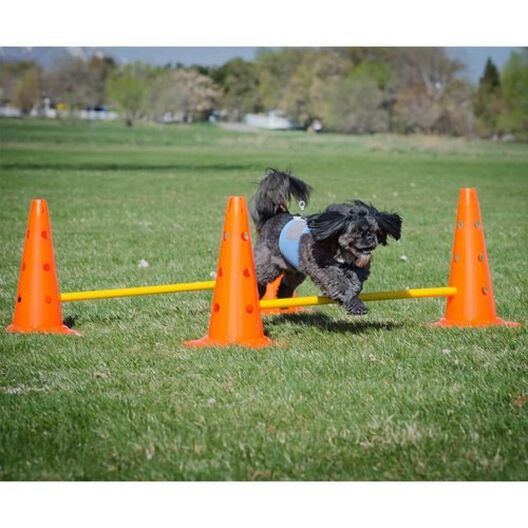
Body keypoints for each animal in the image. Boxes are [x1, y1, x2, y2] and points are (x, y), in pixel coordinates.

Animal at [250, 170, 402, 314]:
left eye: (376, 231)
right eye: (357, 231)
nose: (371, 238)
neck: (339, 249)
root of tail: (275, 215)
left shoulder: (358, 266)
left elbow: (356, 279)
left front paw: (353, 290)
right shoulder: (321, 268)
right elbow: (339, 283)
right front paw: (354, 303)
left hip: (296, 269)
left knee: (287, 283)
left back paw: (283, 299)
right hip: (268, 266)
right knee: (260, 277)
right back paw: (258, 292)